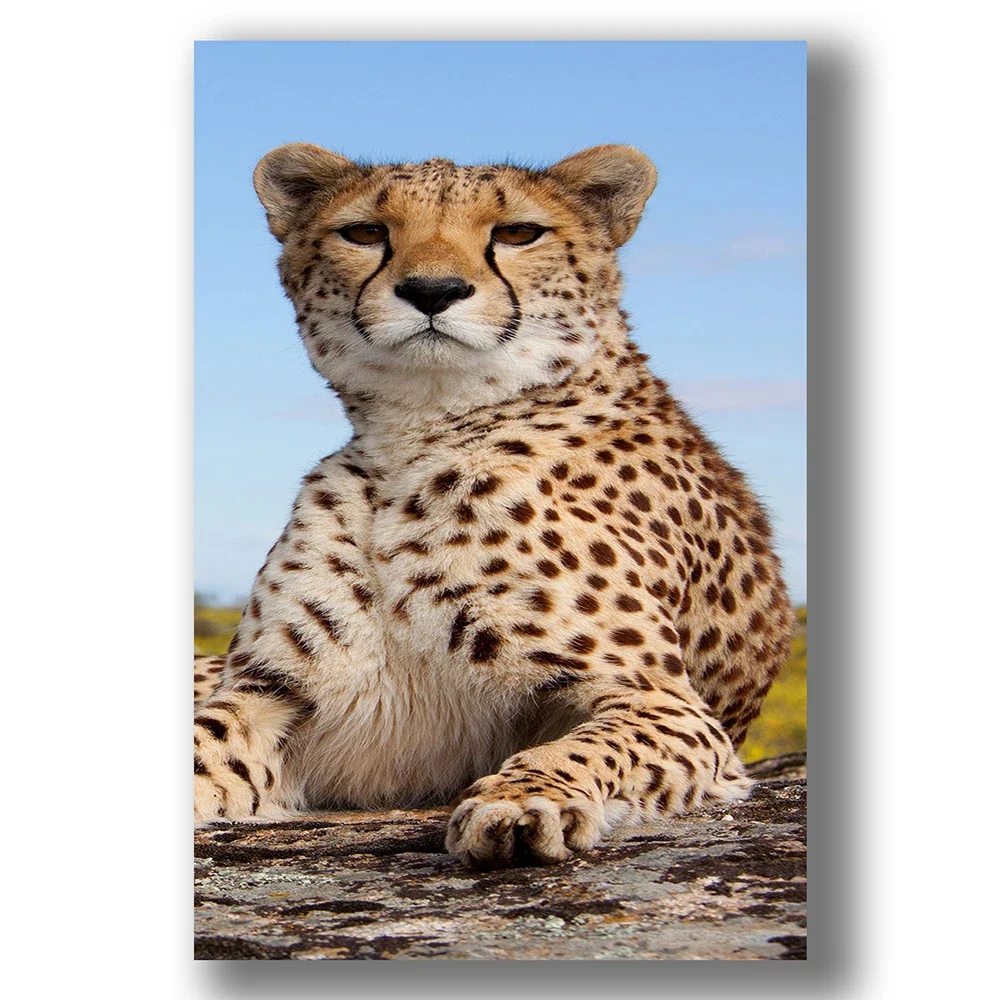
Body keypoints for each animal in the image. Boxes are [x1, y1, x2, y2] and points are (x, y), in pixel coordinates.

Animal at [193, 142, 796, 869]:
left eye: (517, 233)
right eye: (364, 232)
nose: (432, 291)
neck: (419, 431)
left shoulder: (665, 704)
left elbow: (587, 746)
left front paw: (523, 799)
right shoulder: (270, 693)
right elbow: (198, 742)